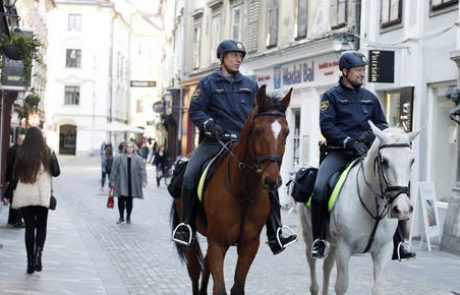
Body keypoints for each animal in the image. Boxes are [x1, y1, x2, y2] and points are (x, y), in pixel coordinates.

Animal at [171, 86, 292, 295]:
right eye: (258, 130)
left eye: (286, 132)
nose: (272, 181)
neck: (244, 191)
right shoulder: (218, 243)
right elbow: (219, 288)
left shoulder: (249, 245)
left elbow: (237, 288)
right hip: (192, 236)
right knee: (194, 270)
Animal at [300, 122, 422, 295]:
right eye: (384, 161)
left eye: (411, 161)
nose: (403, 209)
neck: (373, 206)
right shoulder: (344, 249)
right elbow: (341, 285)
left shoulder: (384, 250)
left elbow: (378, 289)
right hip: (309, 234)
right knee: (312, 263)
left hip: (333, 241)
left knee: (327, 267)